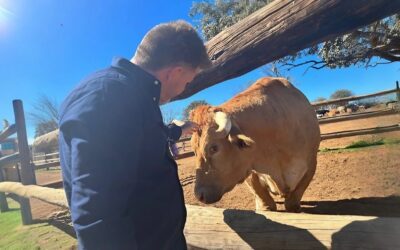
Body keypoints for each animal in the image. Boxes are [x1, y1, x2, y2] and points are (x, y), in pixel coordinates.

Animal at [189, 77, 320, 211]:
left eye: (214, 148)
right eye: (194, 151)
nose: (199, 195)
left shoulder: (311, 164)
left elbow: (293, 201)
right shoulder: (250, 170)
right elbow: (262, 198)